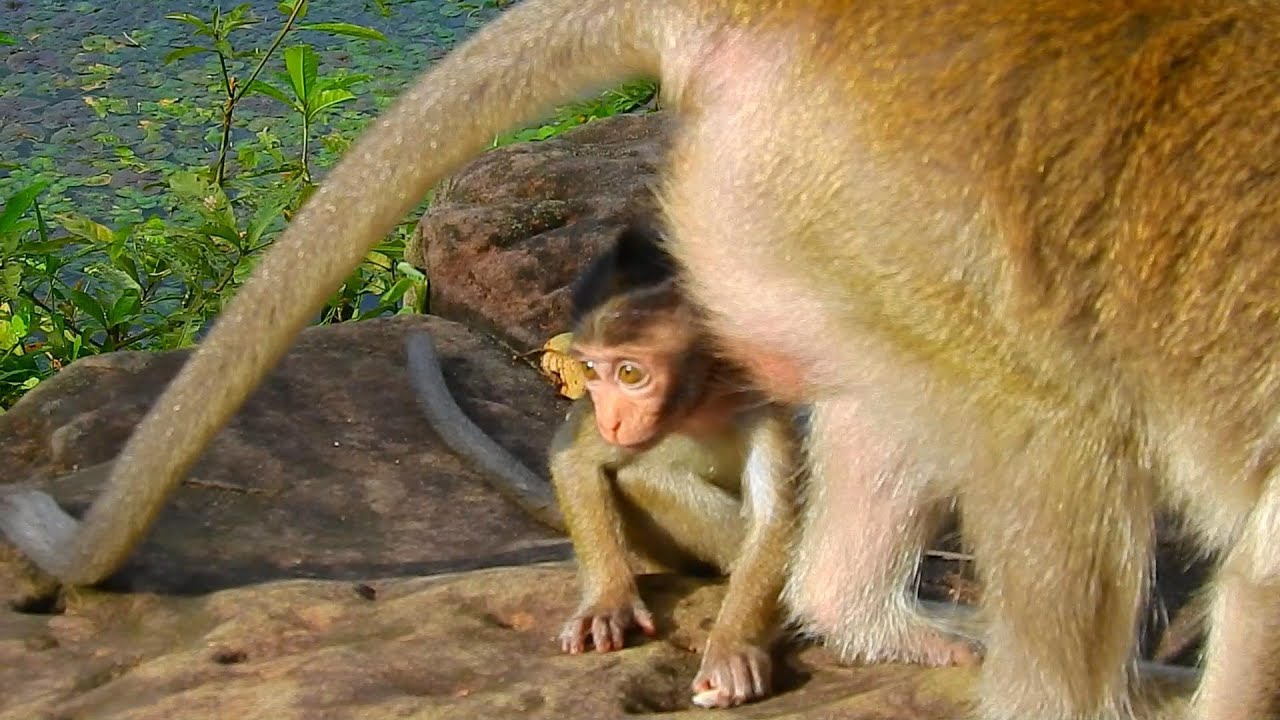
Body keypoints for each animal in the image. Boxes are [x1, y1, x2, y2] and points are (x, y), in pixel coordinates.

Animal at [406, 222, 799, 708]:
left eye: (630, 374)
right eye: (591, 370)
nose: (611, 417)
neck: (702, 405)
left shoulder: (768, 401)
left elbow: (778, 518)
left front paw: (732, 648)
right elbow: (574, 457)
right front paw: (607, 601)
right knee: (637, 477)